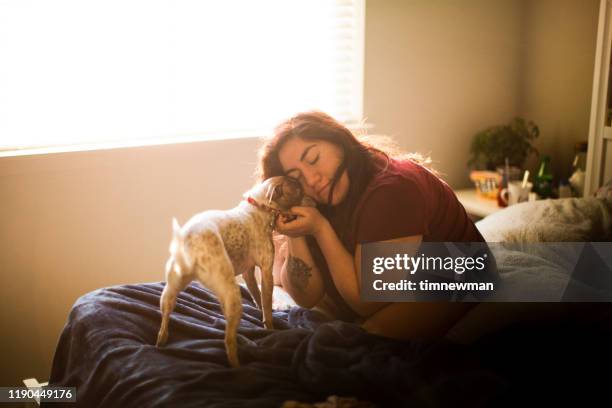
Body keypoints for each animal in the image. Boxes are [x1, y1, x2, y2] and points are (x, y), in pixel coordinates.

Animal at [158, 177, 310, 368]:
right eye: (297, 187)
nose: (312, 199)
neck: (259, 205)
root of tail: (191, 241)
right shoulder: (267, 271)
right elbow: (266, 304)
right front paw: (270, 328)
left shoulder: (248, 273)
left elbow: (257, 296)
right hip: (232, 293)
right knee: (228, 341)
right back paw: (238, 365)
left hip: (169, 292)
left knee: (164, 323)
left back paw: (161, 342)